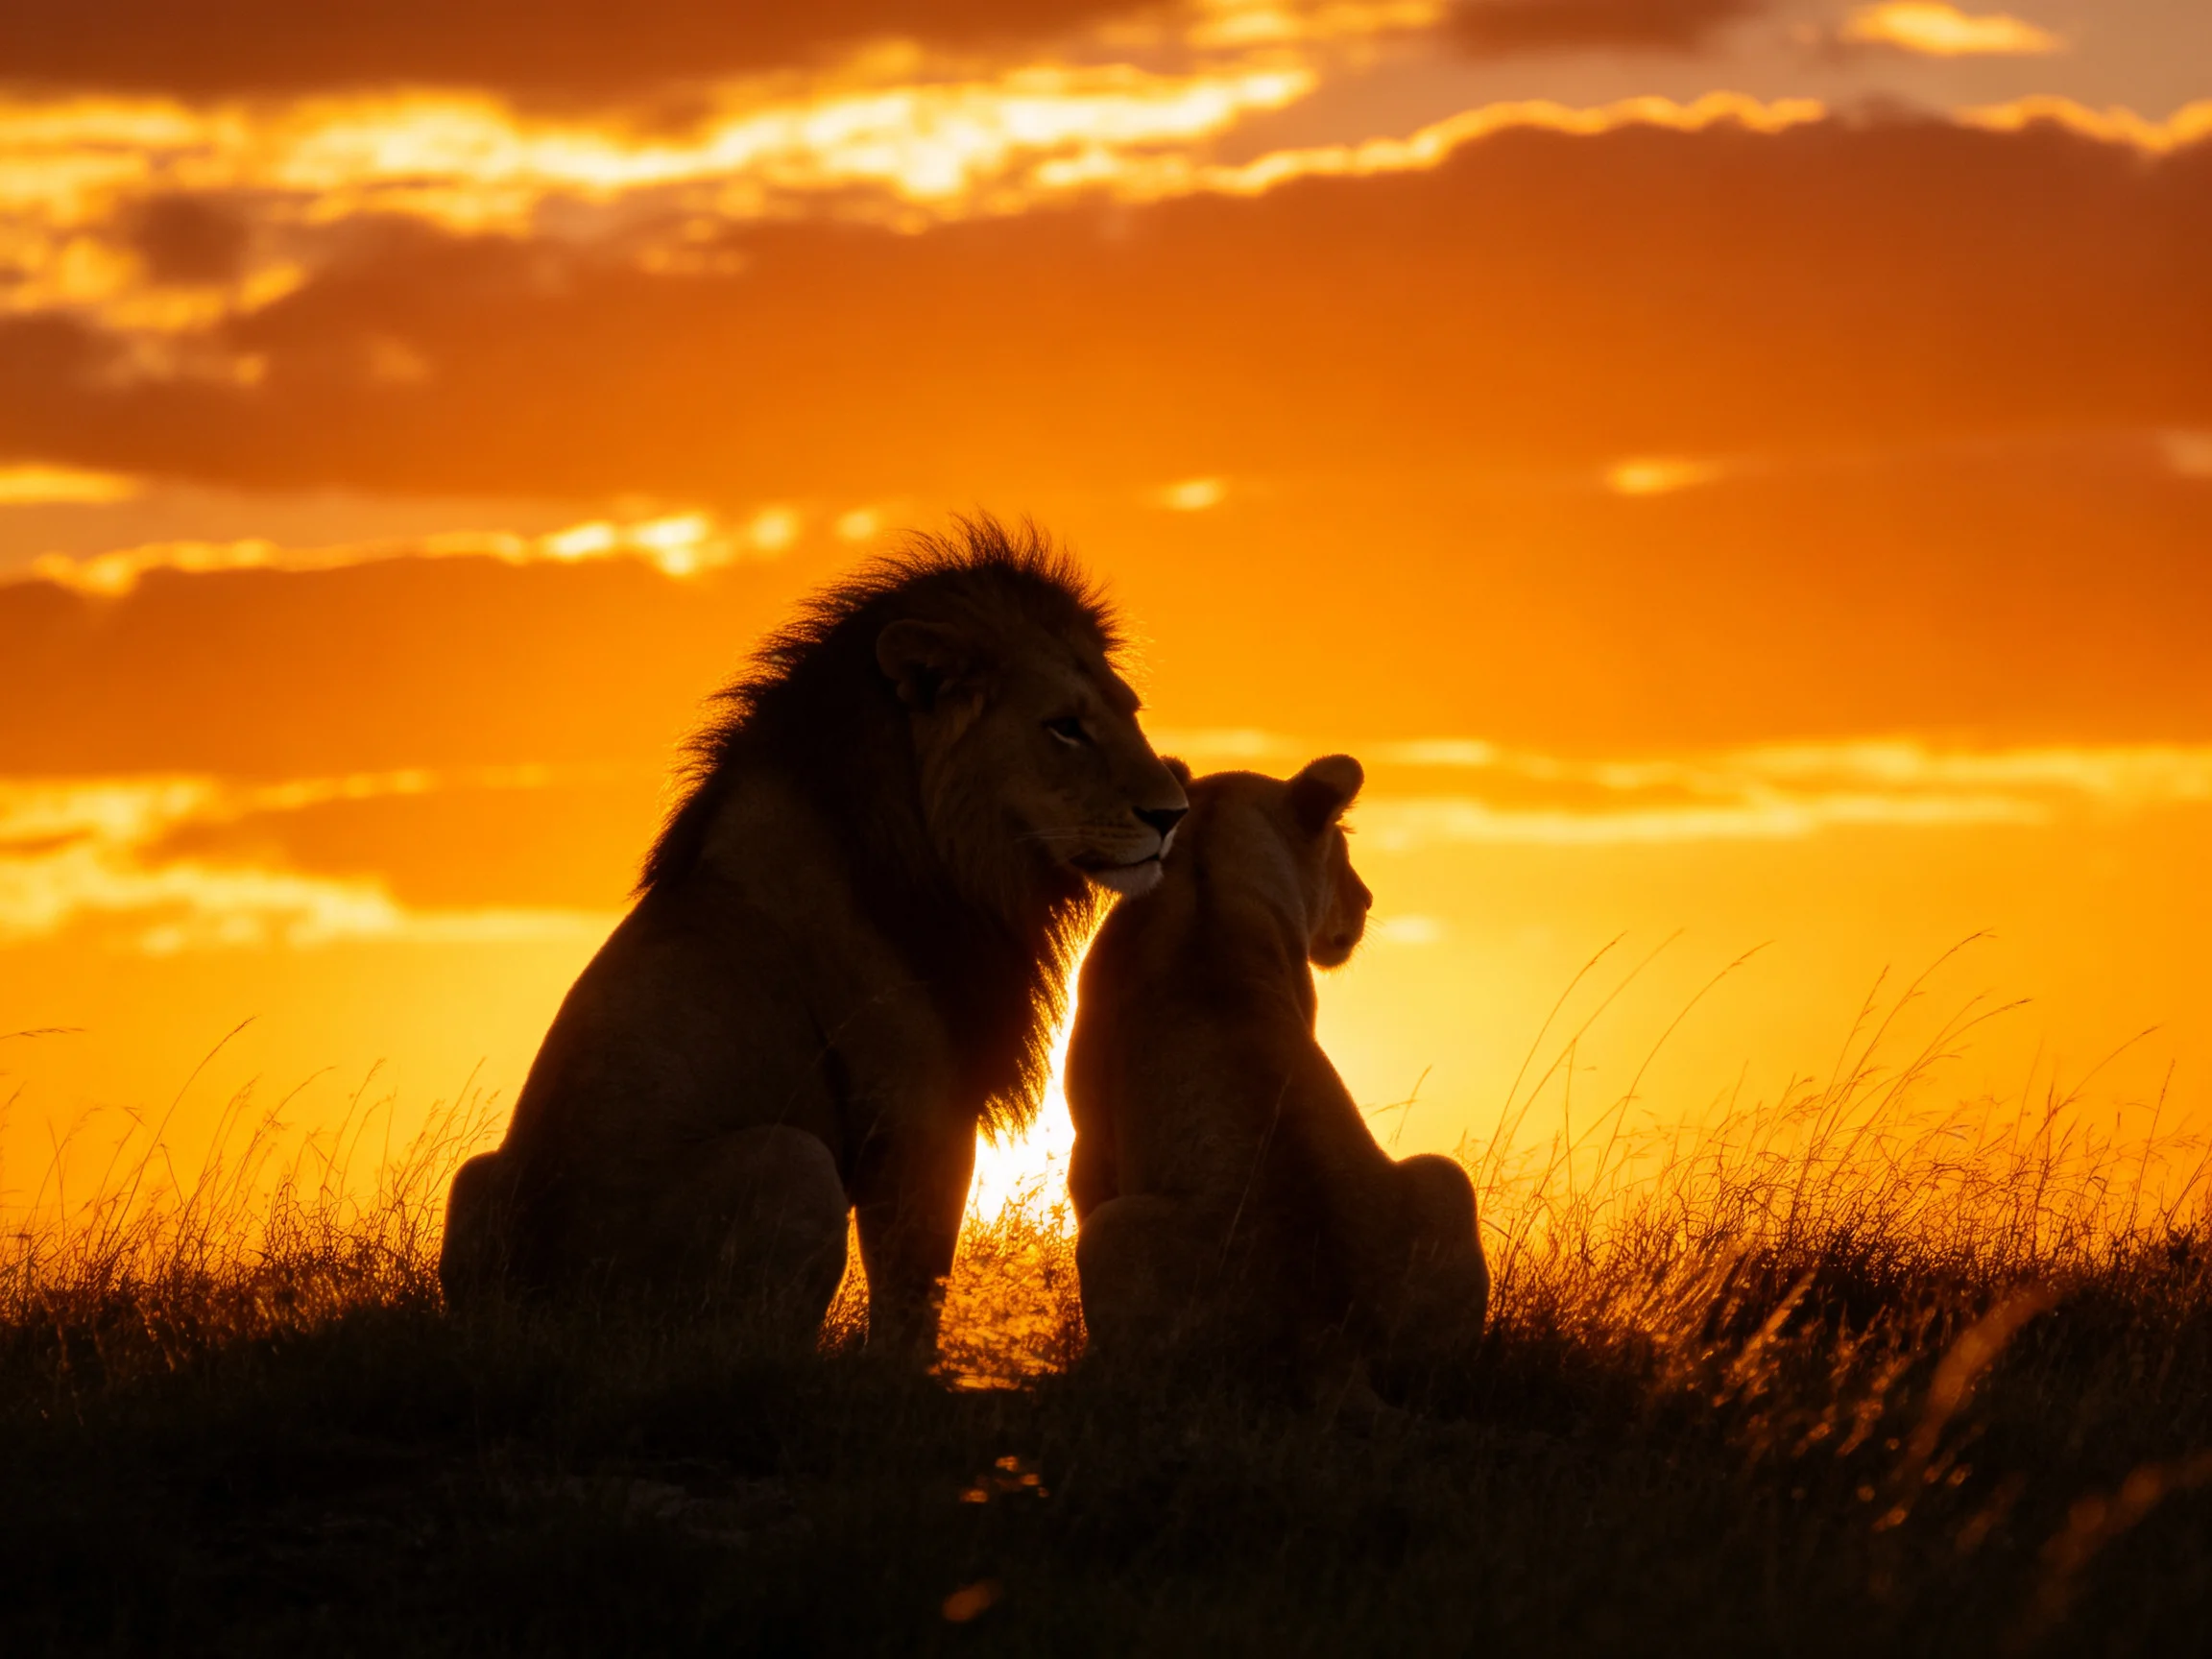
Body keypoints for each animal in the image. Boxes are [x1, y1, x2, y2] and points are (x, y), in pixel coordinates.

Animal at [439, 517, 1189, 1355]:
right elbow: (913, 1291)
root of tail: (533, 1308)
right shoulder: (916, 1109)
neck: (956, 854)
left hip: (476, 1179)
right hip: (789, 1161)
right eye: (1064, 727)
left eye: (1128, 711)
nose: (1173, 814)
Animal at [1065, 755, 1490, 1399]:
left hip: (1111, 1233)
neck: (1206, 878)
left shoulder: (1090, 1140)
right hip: (1445, 1177)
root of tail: (1331, 1343)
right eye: (1342, 845)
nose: (1367, 899)